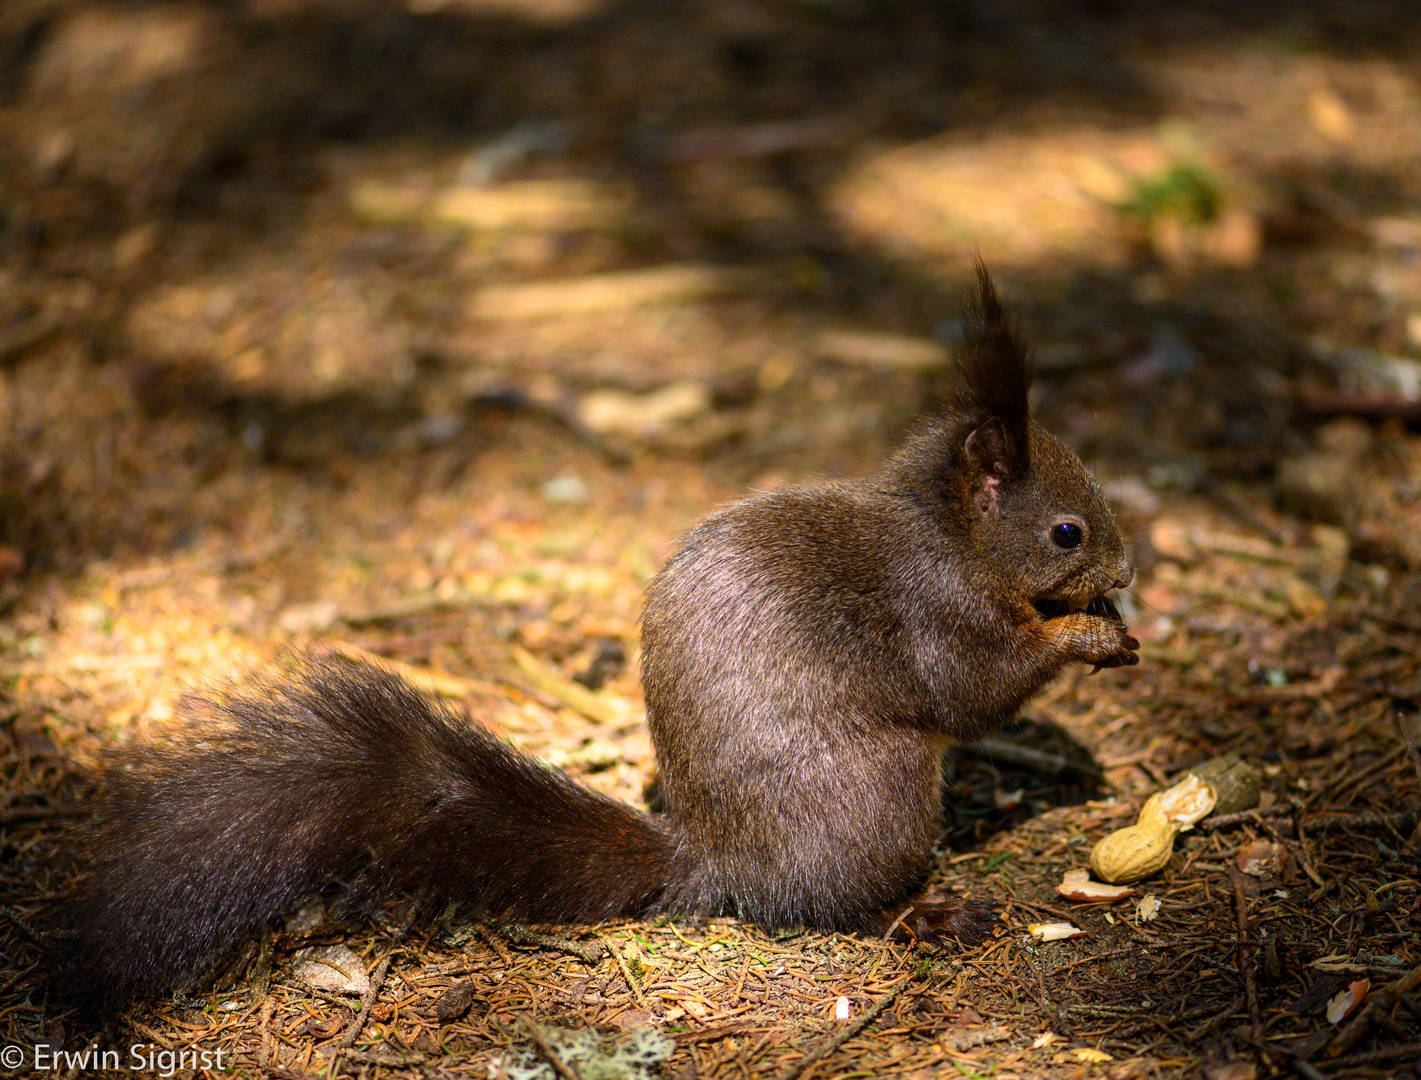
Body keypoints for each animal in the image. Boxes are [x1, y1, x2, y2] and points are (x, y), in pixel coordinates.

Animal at [38, 264, 1136, 1011]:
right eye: (1066, 531)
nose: (1125, 574)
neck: (946, 537)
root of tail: (720, 866)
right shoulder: (933, 611)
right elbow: (974, 689)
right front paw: (1085, 639)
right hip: (880, 794)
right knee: (835, 905)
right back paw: (920, 914)